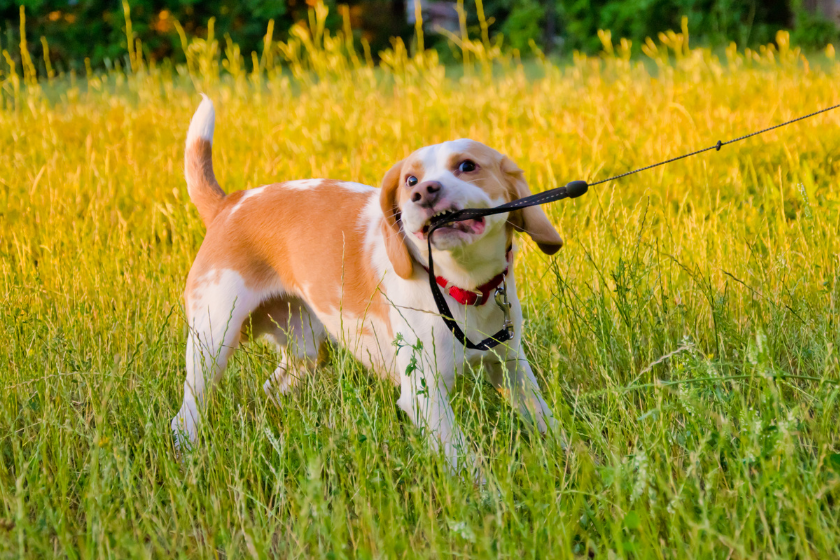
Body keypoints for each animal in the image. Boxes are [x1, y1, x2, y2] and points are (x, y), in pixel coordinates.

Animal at [171, 97, 564, 472]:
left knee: (271, 387)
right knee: (185, 415)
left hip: (306, 350)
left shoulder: (512, 368)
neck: (462, 286)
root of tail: (230, 202)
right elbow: (468, 464)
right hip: (212, 344)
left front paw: (569, 461)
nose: (423, 192)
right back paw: (186, 453)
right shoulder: (425, 396)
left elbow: (548, 424)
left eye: (467, 166)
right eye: (409, 180)